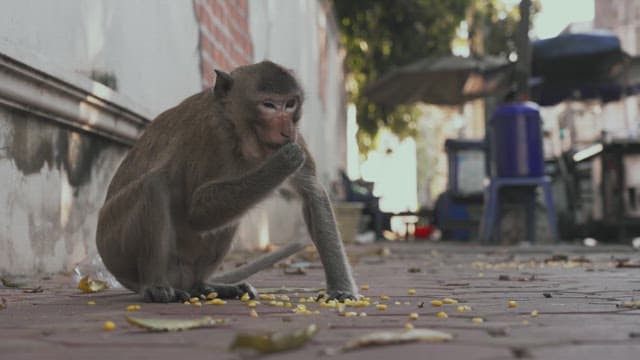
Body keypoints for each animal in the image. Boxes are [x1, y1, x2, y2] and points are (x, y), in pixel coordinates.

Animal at [95, 60, 358, 302]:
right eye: (269, 105)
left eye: (290, 103)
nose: (286, 130)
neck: (241, 131)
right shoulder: (211, 136)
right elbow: (196, 210)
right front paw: (281, 163)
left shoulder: (297, 135)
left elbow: (312, 194)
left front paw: (340, 289)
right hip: (115, 250)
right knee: (154, 184)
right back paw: (155, 286)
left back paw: (204, 286)